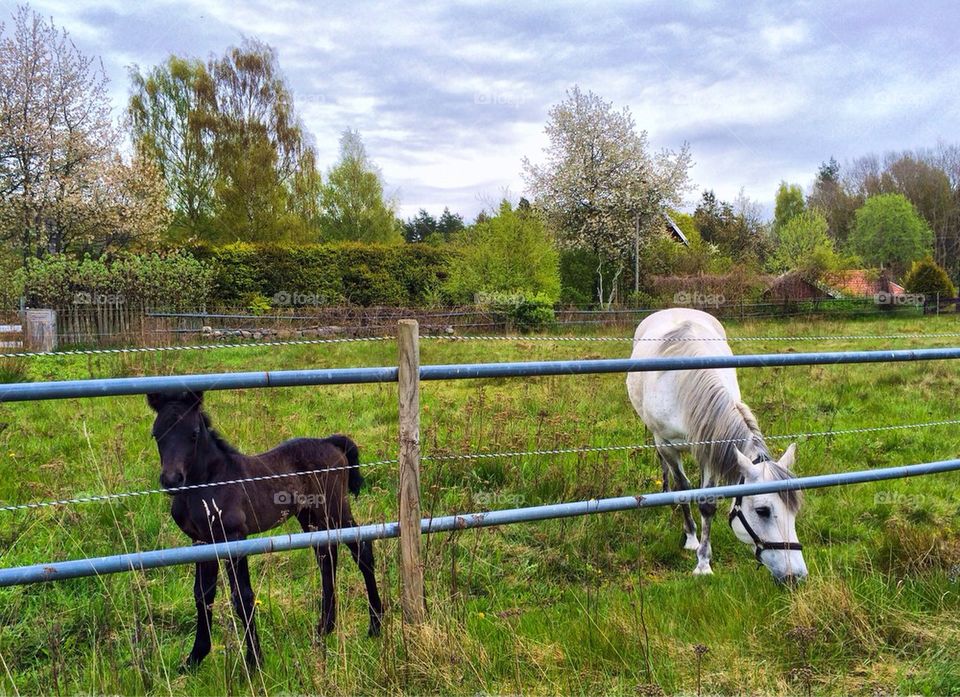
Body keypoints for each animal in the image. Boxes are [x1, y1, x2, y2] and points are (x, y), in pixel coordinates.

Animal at [146, 390, 383, 669]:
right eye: (156, 433)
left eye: (193, 434)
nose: (172, 480)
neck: (209, 482)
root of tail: (331, 442)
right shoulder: (201, 541)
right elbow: (202, 595)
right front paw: (194, 658)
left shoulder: (234, 538)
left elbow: (242, 597)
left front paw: (254, 660)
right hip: (310, 516)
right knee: (327, 557)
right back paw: (324, 628)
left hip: (335, 510)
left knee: (361, 550)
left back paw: (375, 626)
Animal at [625, 308, 808, 583]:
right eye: (763, 510)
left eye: (795, 510)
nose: (795, 576)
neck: (683, 386)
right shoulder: (667, 444)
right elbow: (683, 488)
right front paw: (692, 541)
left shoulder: (710, 446)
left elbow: (707, 502)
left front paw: (703, 561)